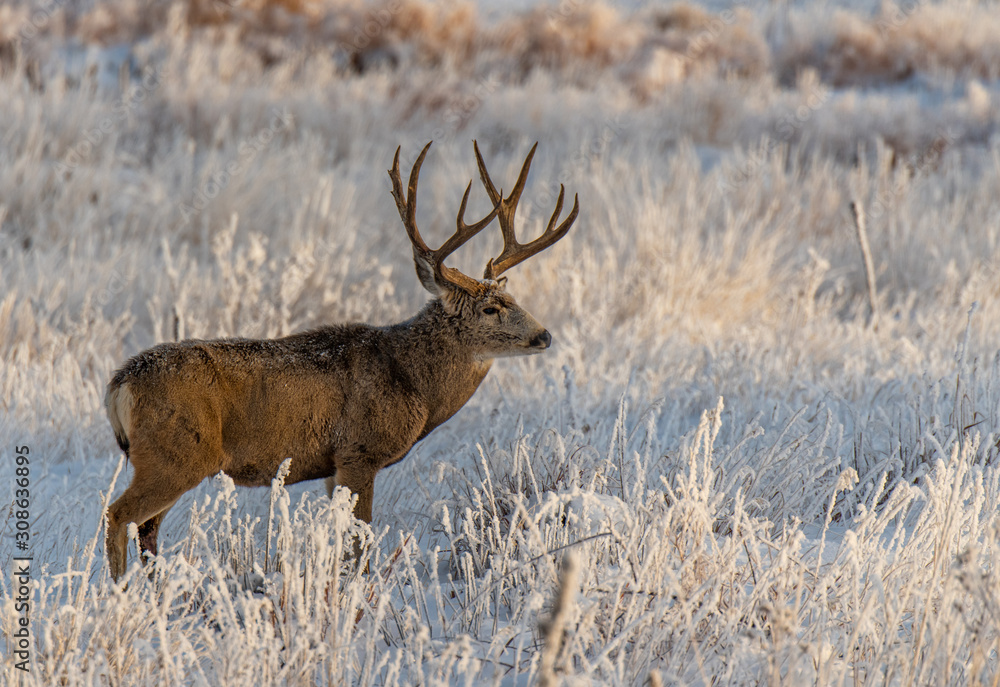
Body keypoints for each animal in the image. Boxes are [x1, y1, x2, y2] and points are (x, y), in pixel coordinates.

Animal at [103, 141, 579, 581]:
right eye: (491, 309)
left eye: (513, 299)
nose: (544, 335)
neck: (413, 380)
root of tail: (119, 383)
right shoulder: (359, 452)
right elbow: (359, 546)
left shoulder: (333, 467)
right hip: (176, 455)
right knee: (118, 515)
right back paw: (120, 593)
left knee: (146, 531)